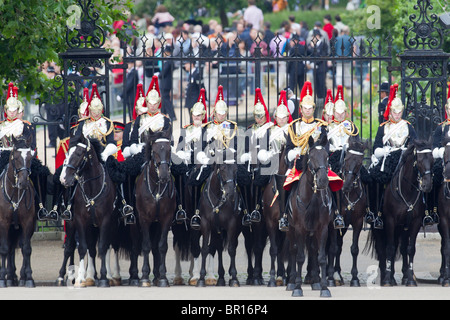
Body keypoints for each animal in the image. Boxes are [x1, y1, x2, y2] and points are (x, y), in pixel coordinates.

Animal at [59, 132, 117, 288]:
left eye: (79, 153)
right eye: (67, 153)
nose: (63, 179)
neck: (92, 189)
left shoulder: (106, 221)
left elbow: (102, 247)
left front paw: (104, 277)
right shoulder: (80, 220)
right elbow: (82, 248)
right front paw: (80, 278)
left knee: (99, 247)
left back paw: (98, 275)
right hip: (72, 223)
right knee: (70, 247)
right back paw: (64, 276)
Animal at [286, 132, 332, 298]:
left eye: (326, 156)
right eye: (311, 157)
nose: (323, 180)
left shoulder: (323, 229)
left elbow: (322, 258)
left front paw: (324, 288)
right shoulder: (299, 228)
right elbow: (299, 257)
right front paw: (298, 287)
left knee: (312, 250)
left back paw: (316, 282)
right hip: (290, 229)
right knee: (293, 251)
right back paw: (291, 282)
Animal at [370, 139, 436, 286]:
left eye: (432, 159)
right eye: (419, 160)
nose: (427, 185)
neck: (407, 190)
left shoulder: (414, 222)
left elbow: (410, 249)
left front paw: (410, 279)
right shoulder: (390, 221)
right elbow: (389, 248)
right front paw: (387, 279)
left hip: (402, 227)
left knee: (401, 247)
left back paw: (401, 276)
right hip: (379, 227)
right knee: (383, 248)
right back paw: (385, 277)